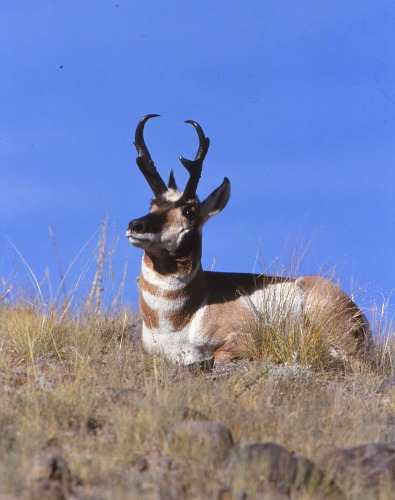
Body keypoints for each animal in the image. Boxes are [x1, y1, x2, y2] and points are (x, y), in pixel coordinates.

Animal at [128, 115, 372, 370]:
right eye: (152, 204)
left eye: (189, 211)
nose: (136, 225)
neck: (183, 316)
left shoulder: (244, 337)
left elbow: (218, 355)